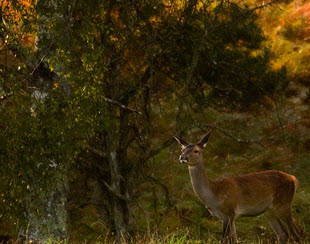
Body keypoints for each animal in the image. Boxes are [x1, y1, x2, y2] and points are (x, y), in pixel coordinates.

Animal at [174, 132, 302, 244]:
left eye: (196, 150)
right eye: (182, 149)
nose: (182, 157)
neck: (214, 195)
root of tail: (293, 179)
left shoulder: (228, 212)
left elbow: (224, 240)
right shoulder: (230, 216)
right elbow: (234, 240)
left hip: (283, 204)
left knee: (296, 233)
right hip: (269, 211)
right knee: (283, 234)